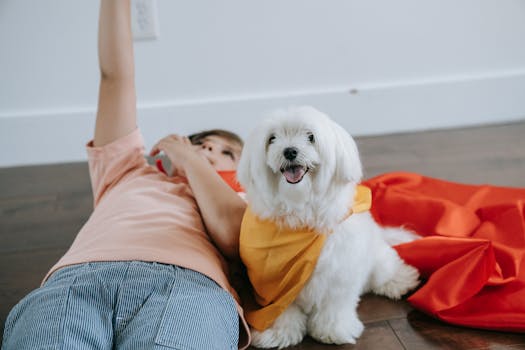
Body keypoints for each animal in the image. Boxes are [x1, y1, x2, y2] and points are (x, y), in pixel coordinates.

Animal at [235, 106, 420, 348]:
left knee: (386, 269)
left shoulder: (339, 275)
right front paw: (279, 332)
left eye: (310, 137)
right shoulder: (273, 287)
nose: (290, 151)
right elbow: (281, 311)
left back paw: (400, 280)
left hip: (378, 262)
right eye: (272, 138)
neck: (301, 213)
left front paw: (333, 331)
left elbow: (334, 307)